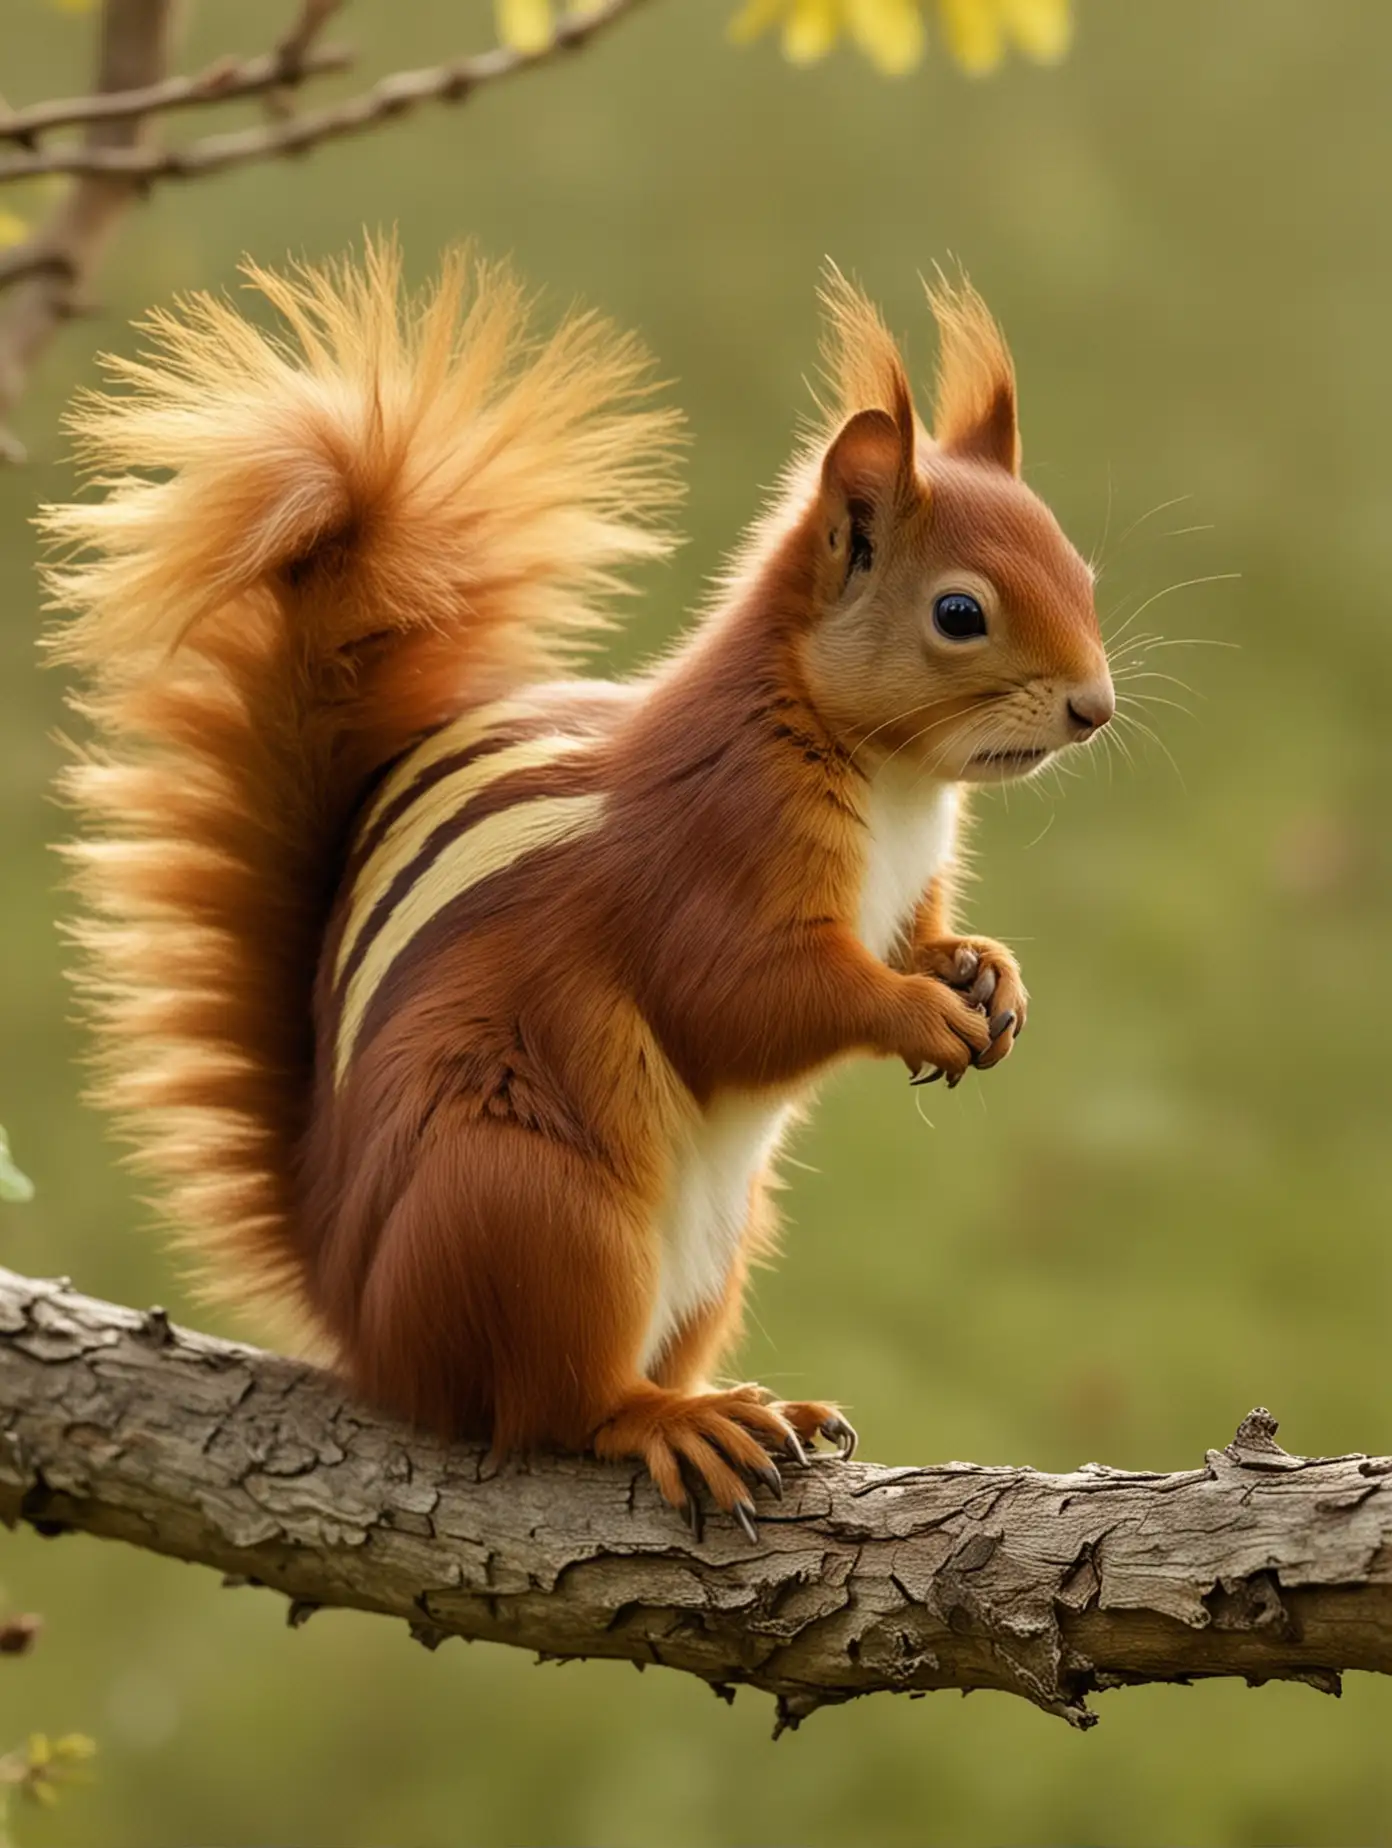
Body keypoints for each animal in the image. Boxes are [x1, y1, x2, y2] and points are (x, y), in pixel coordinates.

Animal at [37, 245, 1116, 1544]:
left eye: (1083, 571)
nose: (1096, 708)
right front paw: (919, 1012)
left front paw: (984, 975)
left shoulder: (907, 889)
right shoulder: (705, 864)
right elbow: (749, 999)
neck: (896, 779)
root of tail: (361, 1313)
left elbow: (921, 939)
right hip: (536, 1209)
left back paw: (758, 1407)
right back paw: (673, 1423)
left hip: (715, 1248)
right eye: (961, 613)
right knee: (557, 1403)